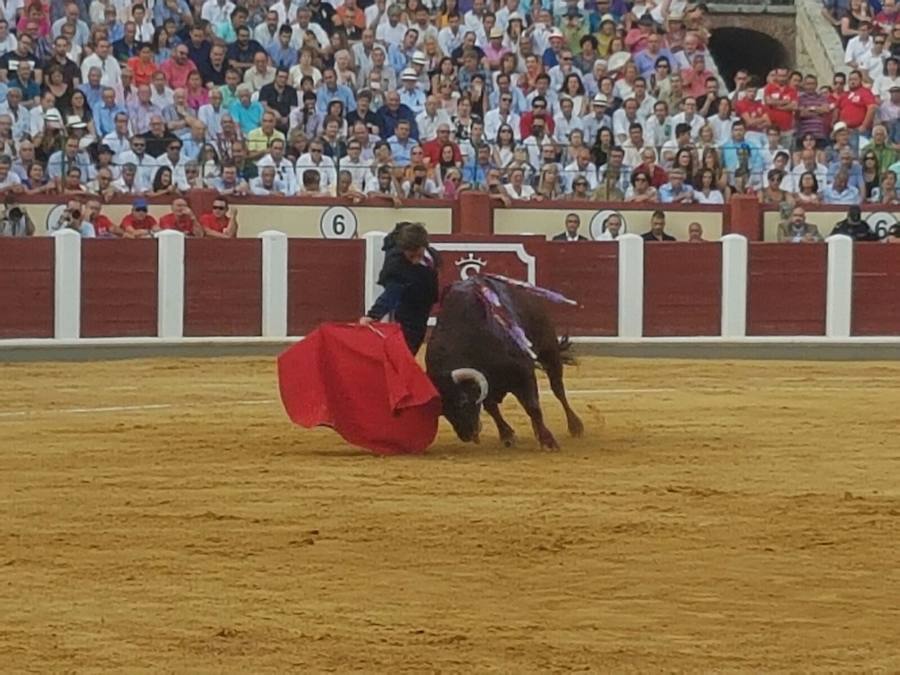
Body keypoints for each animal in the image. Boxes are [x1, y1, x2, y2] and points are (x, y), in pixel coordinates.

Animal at [428, 278, 588, 452]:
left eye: (462, 400)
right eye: (442, 411)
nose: (467, 435)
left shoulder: (523, 372)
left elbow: (532, 406)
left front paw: (548, 441)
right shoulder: (487, 384)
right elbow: (491, 407)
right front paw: (507, 435)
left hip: (549, 348)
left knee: (558, 389)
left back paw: (575, 426)